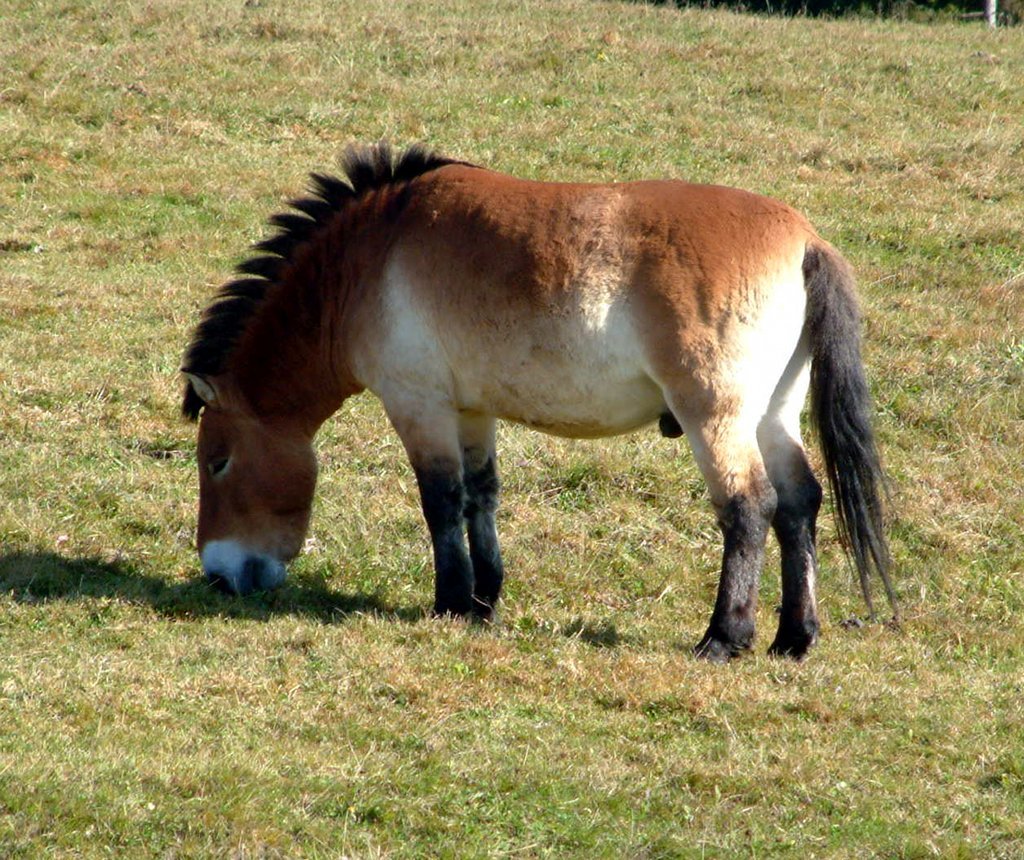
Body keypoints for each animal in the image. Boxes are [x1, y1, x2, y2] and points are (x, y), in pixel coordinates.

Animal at [181, 142, 896, 661]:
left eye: (217, 462)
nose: (219, 574)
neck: (369, 258)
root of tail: (805, 240)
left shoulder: (419, 404)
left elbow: (440, 500)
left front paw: (449, 602)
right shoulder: (471, 410)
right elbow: (481, 495)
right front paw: (483, 600)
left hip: (715, 418)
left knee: (749, 509)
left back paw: (725, 638)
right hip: (773, 414)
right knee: (800, 504)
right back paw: (793, 638)